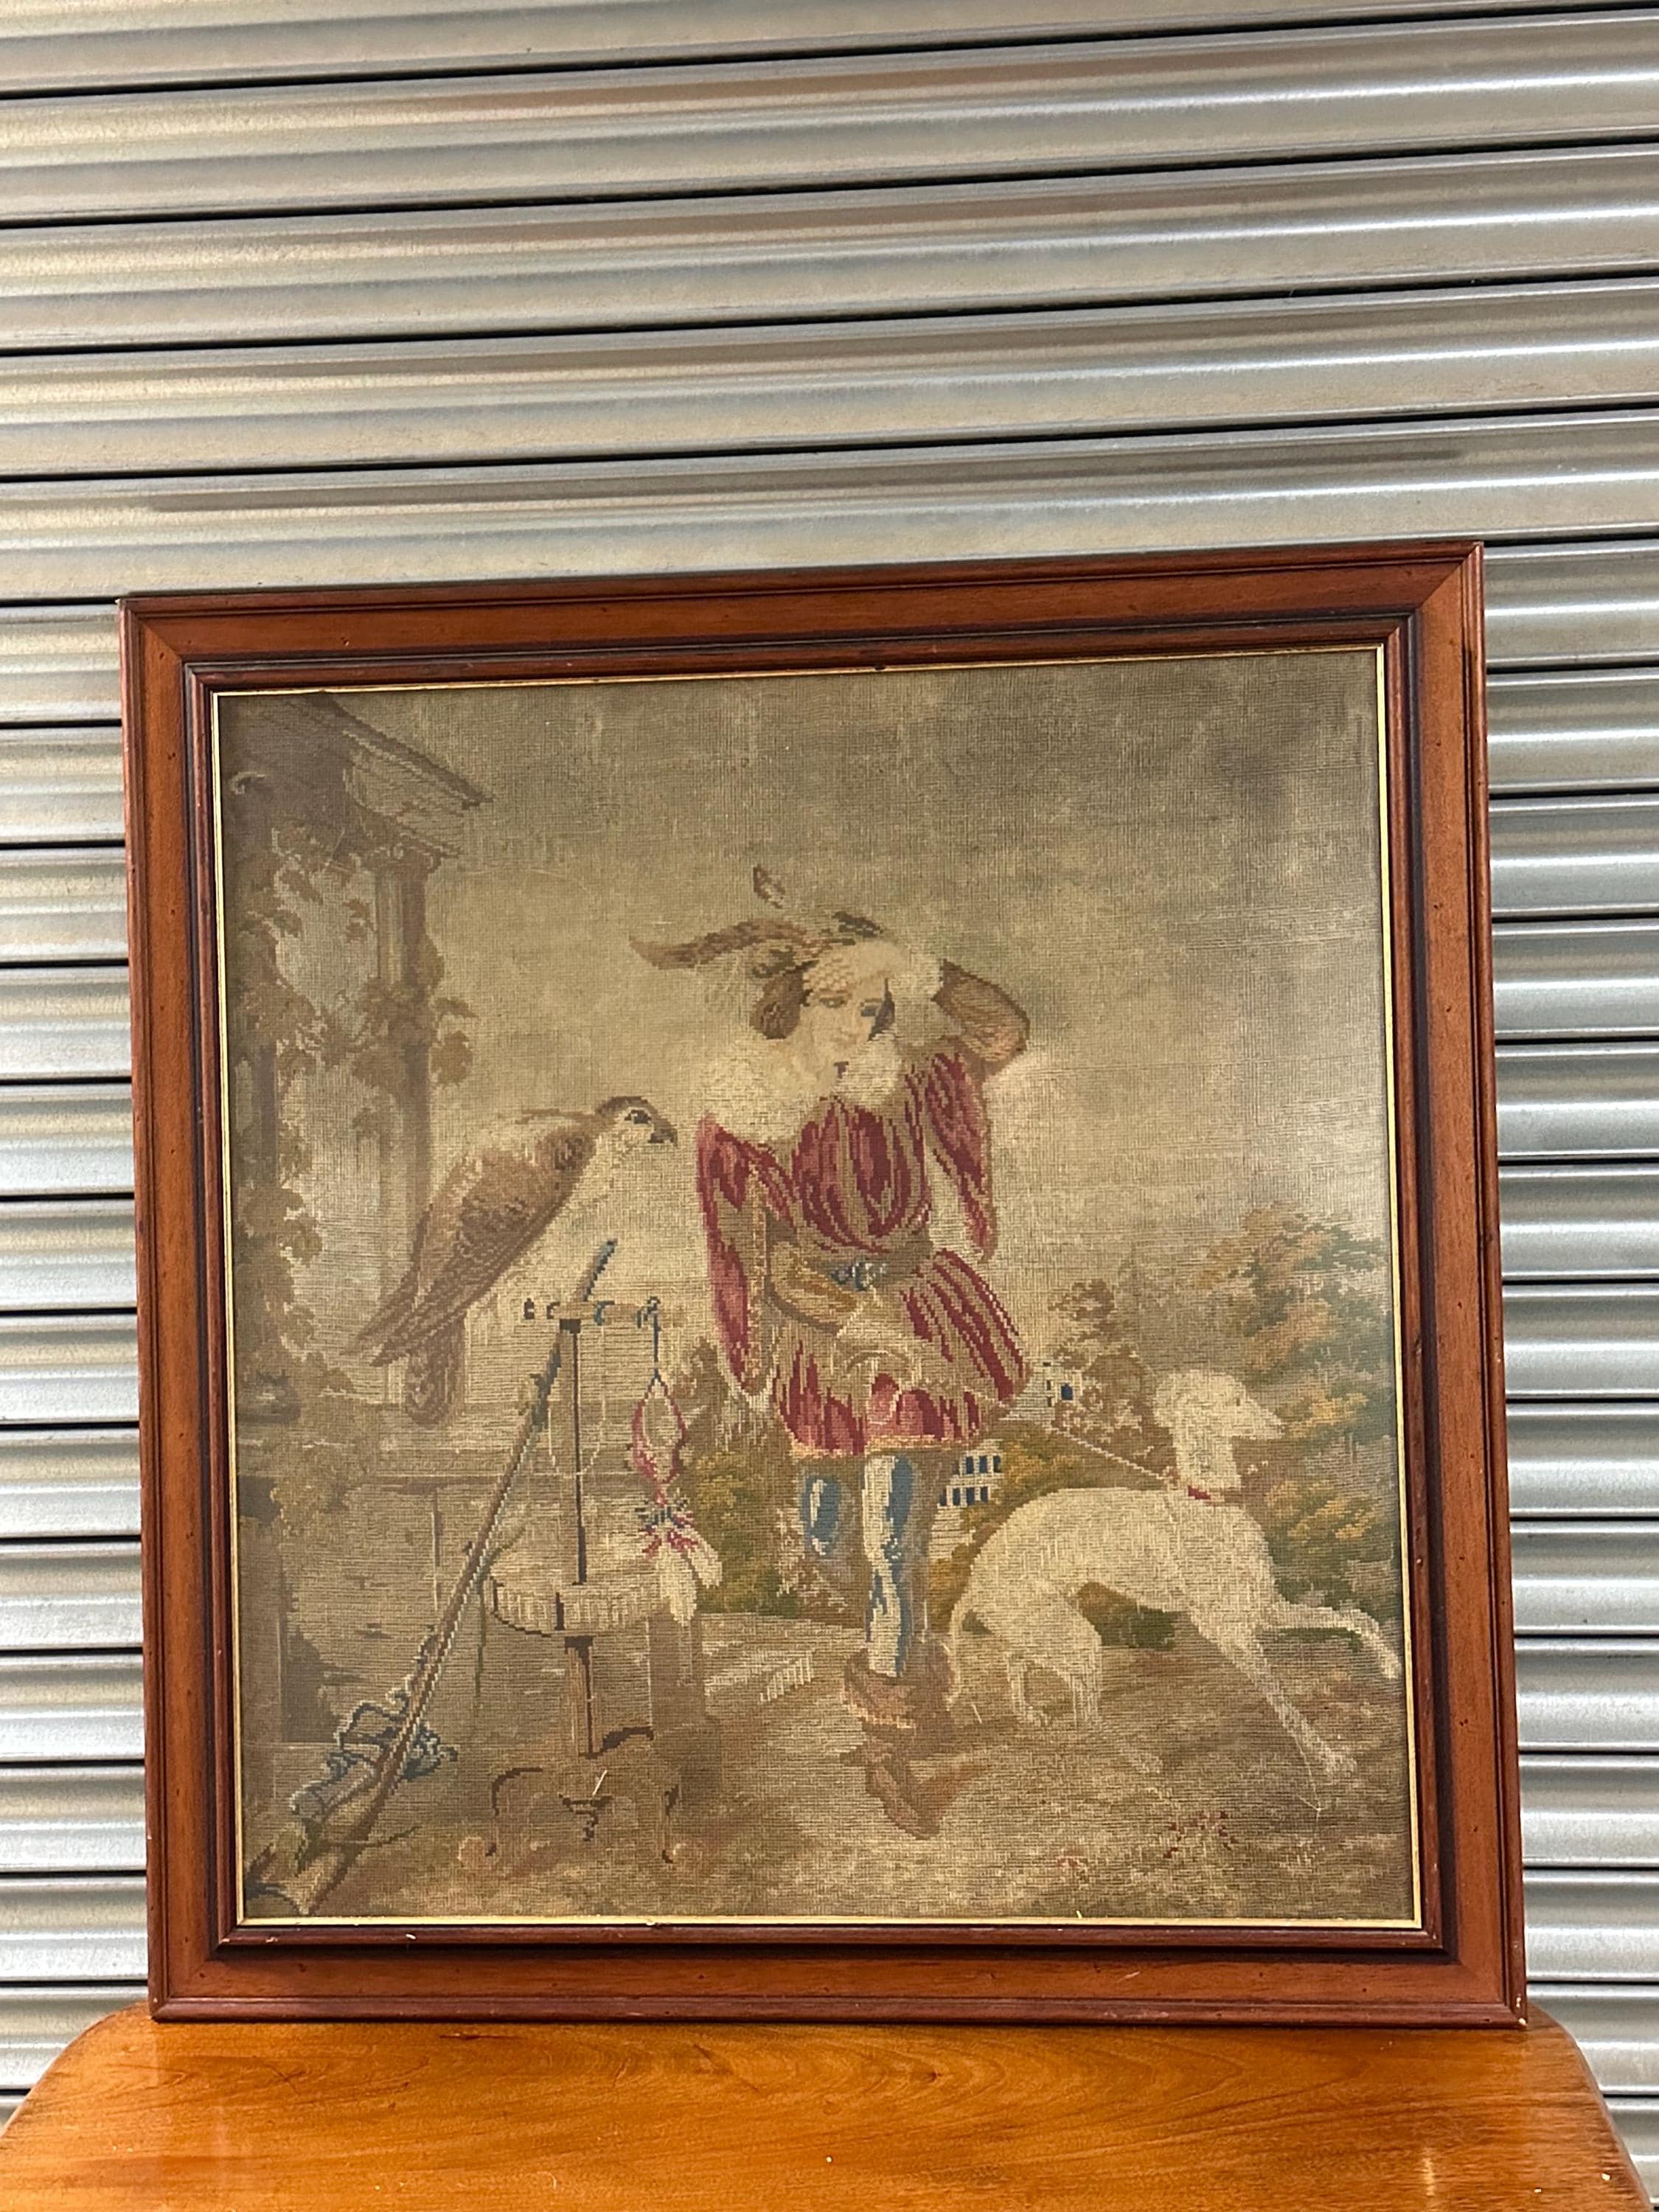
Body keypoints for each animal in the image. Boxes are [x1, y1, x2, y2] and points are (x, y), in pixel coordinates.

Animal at [946, 1368, 1400, 1779]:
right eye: (1235, 1401)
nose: (1280, 1426)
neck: (1208, 1504)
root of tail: (973, 1580)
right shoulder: (1229, 1632)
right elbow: (1281, 1697)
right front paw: (1329, 1759)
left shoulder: (1266, 1607)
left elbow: (1355, 1617)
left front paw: (1390, 1664)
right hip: (1074, 1637)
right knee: (1083, 1710)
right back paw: (1141, 1758)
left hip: (1044, 1625)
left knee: (1015, 1657)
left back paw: (1027, 1711)